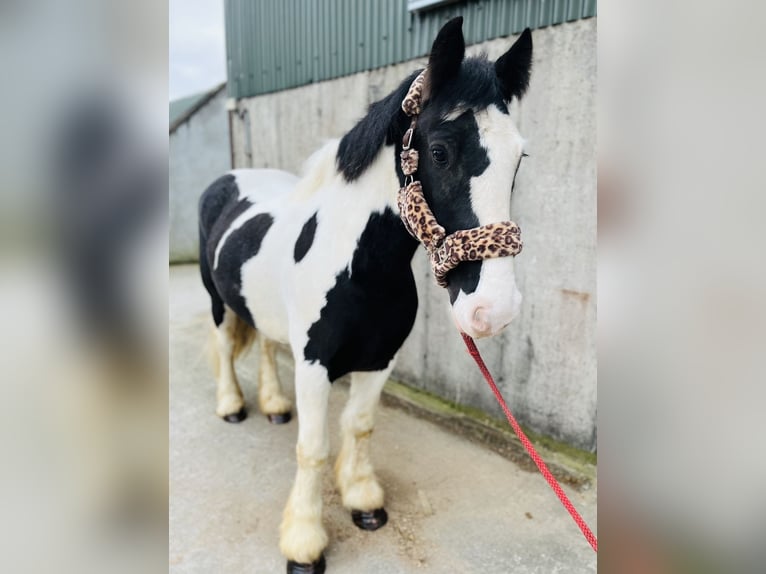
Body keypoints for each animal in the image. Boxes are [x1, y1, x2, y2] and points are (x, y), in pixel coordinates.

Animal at [198, 17, 532, 573]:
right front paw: (304, 543)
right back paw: (232, 406)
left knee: (264, 343)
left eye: (519, 158)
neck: (358, 267)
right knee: (225, 345)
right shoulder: (314, 365)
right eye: (439, 151)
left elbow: (359, 426)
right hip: (218, 301)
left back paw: (273, 404)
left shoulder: (380, 360)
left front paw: (363, 501)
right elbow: (312, 447)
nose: (493, 311)